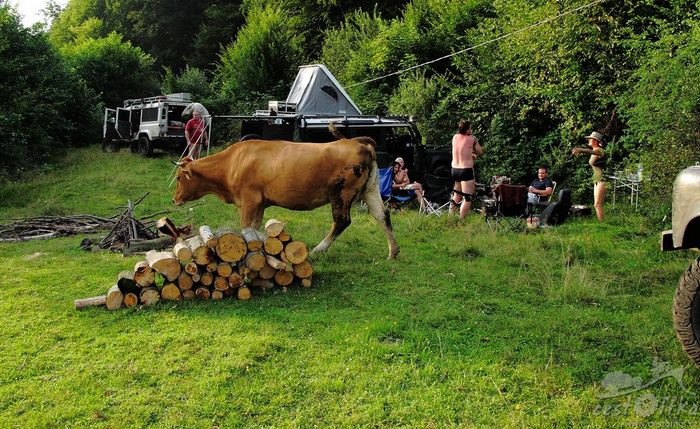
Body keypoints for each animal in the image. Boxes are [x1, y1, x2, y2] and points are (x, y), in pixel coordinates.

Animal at [171, 131, 400, 260]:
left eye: (178, 177)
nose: (174, 200)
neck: (233, 162)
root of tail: (356, 141)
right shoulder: (260, 204)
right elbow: (253, 228)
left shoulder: (249, 201)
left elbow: (245, 227)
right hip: (370, 190)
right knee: (383, 216)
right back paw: (393, 252)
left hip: (341, 194)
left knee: (342, 221)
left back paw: (319, 249)